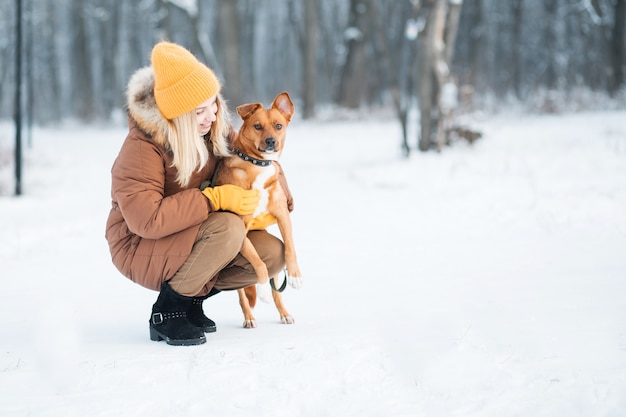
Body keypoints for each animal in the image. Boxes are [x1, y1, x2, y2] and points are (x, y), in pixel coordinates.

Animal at [216, 92, 302, 328]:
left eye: (278, 126)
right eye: (257, 126)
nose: (271, 141)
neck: (257, 164)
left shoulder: (283, 216)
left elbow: (290, 248)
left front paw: (294, 275)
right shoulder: (242, 230)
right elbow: (258, 262)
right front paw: (262, 289)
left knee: (277, 291)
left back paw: (285, 313)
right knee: (242, 296)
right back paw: (249, 318)